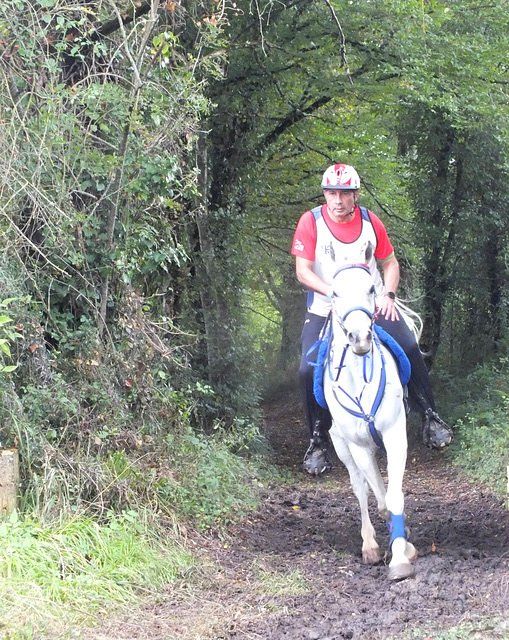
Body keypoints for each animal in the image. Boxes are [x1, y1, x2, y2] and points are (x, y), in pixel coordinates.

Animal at [324, 245, 414, 580]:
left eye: (372, 289)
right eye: (334, 292)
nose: (359, 337)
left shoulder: (395, 434)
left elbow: (393, 497)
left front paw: (401, 555)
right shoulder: (359, 446)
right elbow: (379, 499)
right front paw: (394, 546)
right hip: (342, 447)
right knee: (360, 489)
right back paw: (370, 546)